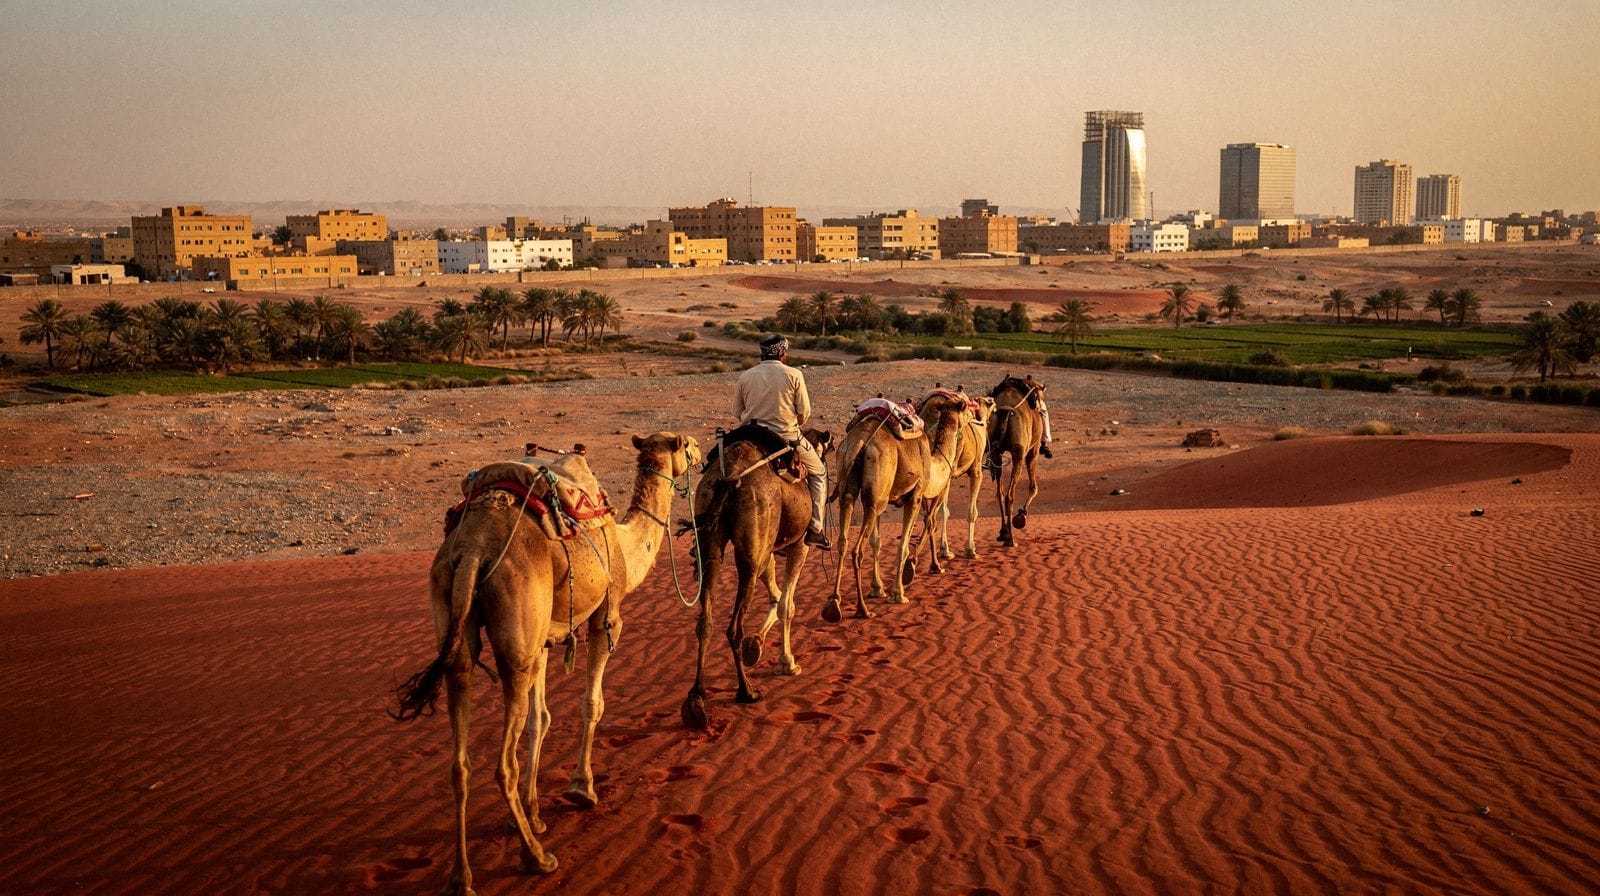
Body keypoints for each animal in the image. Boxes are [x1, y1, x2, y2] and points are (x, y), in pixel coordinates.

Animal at [393, 431, 701, 896]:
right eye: (685, 445)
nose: (702, 454)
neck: (625, 545)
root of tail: (473, 549)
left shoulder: (542, 640)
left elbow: (541, 719)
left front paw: (534, 814)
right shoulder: (606, 615)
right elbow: (592, 704)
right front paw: (580, 789)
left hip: (459, 616)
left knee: (460, 757)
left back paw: (462, 878)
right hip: (515, 638)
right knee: (502, 764)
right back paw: (537, 858)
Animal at [681, 425, 831, 729]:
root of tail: (730, 478)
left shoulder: (769, 548)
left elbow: (777, 595)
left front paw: (757, 645)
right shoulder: (800, 544)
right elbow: (787, 605)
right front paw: (787, 663)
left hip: (713, 539)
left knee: (706, 622)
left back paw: (696, 697)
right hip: (753, 538)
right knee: (733, 627)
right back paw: (746, 691)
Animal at [824, 402, 930, 622]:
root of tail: (860, 442)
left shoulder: (882, 497)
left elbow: (877, 542)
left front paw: (877, 589)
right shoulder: (915, 495)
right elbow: (903, 545)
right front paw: (898, 594)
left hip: (855, 491)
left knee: (843, 542)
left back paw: (833, 604)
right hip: (877, 493)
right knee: (857, 550)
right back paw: (862, 610)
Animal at [910, 388, 995, 572]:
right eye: (988, 402)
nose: (993, 399)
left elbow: (944, 511)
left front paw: (944, 550)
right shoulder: (976, 471)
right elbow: (972, 512)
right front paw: (971, 550)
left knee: (930, 514)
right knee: (931, 515)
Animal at [986, 375, 1045, 547]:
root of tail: (1005, 410)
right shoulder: (1033, 449)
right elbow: (1033, 487)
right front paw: (1021, 515)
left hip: (995, 453)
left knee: (1000, 492)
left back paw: (1003, 532)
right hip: (1019, 453)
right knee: (1010, 495)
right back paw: (1011, 539)